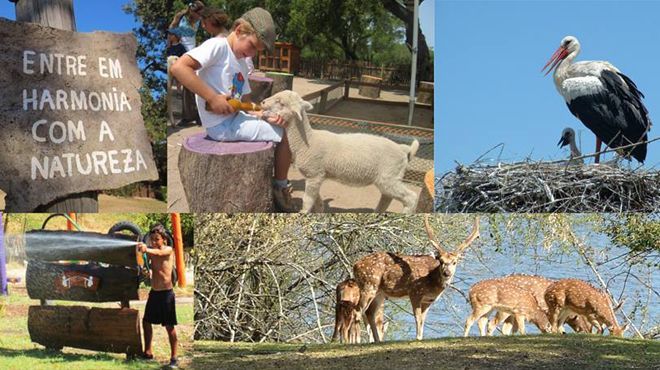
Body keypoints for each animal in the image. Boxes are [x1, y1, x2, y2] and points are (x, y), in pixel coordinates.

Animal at [260, 89, 420, 214]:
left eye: (280, 102)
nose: (262, 102)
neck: (307, 141)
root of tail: (403, 149)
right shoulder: (316, 176)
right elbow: (317, 200)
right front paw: (319, 212)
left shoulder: (314, 174)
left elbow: (307, 200)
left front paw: (303, 213)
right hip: (387, 178)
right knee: (387, 197)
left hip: (390, 175)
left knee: (410, 197)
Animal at [350, 217, 480, 342]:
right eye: (441, 261)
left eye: (454, 262)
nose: (447, 273)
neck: (431, 282)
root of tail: (355, 265)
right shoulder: (415, 292)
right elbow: (418, 318)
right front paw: (417, 338)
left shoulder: (428, 300)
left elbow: (423, 320)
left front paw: (420, 338)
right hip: (368, 284)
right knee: (357, 311)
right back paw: (356, 341)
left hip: (379, 293)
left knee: (369, 313)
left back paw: (377, 341)